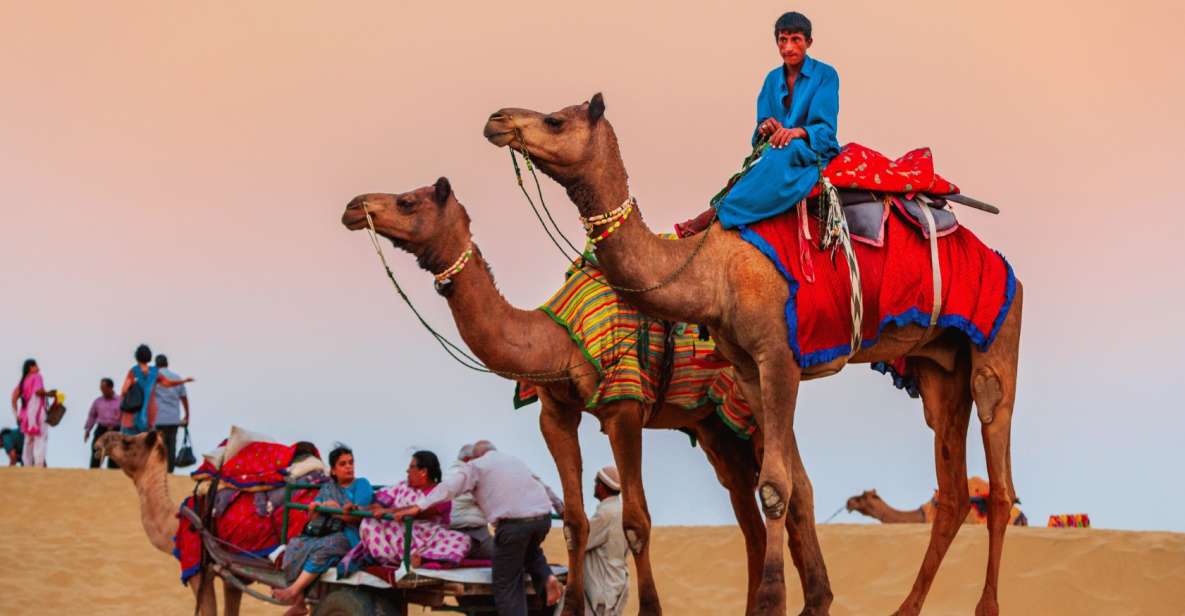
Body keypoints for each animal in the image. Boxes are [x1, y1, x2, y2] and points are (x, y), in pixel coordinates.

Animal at [343, 178, 767, 616]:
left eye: (407, 202)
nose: (354, 207)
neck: (555, 341)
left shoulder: (624, 406)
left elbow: (636, 521)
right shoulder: (556, 413)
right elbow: (575, 523)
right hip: (716, 429)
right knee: (754, 525)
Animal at [481, 92, 1019, 616]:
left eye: (554, 120)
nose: (497, 120)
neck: (712, 269)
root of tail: (996, 258)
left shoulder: (779, 357)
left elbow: (776, 486)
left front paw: (772, 600)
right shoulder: (745, 368)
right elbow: (789, 485)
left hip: (996, 341)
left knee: (998, 479)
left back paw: (987, 605)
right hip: (938, 367)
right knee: (952, 491)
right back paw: (905, 607)